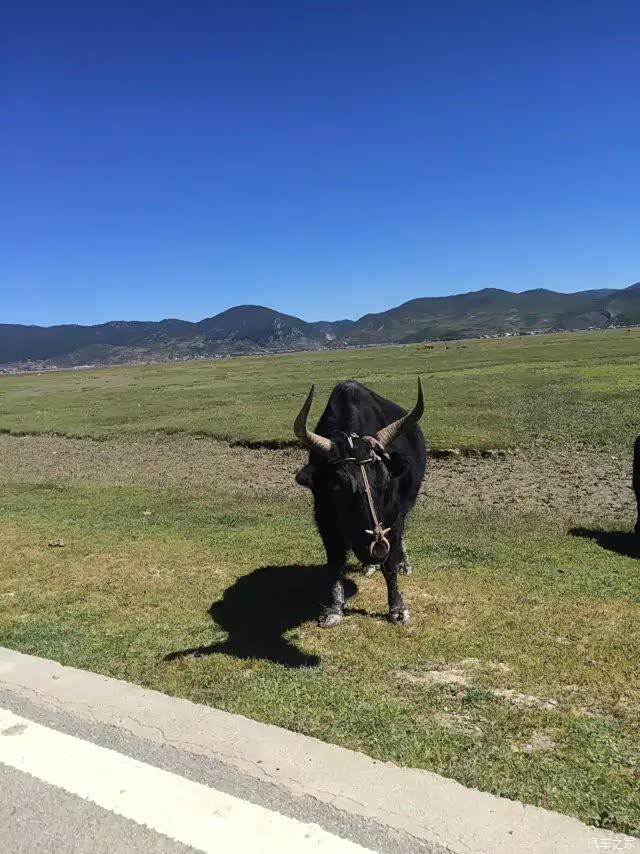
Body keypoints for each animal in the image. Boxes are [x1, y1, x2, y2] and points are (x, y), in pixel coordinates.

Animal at [293, 379, 426, 626]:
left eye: (385, 481)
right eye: (337, 486)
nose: (377, 548)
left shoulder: (393, 517)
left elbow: (390, 564)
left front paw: (398, 609)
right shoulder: (325, 520)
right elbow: (335, 563)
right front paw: (334, 609)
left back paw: (402, 563)